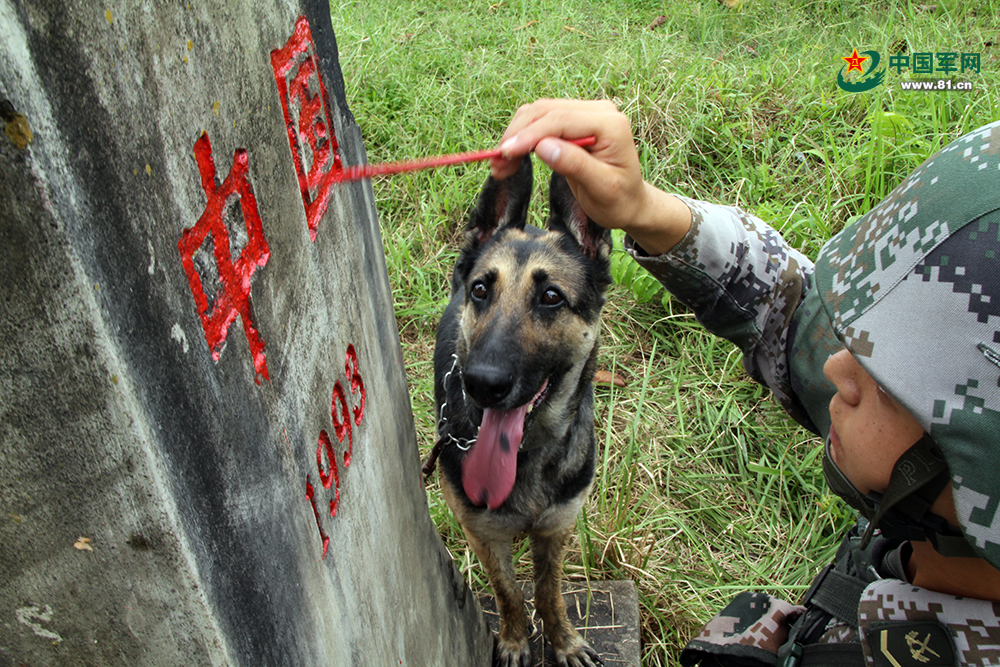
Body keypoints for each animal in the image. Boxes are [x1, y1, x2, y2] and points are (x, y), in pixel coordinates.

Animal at [432, 158, 608, 667]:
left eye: (551, 297)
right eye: (480, 290)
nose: (481, 384)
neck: (528, 454)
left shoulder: (556, 528)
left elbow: (548, 593)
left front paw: (563, 641)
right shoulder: (482, 535)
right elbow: (508, 591)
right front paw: (514, 641)